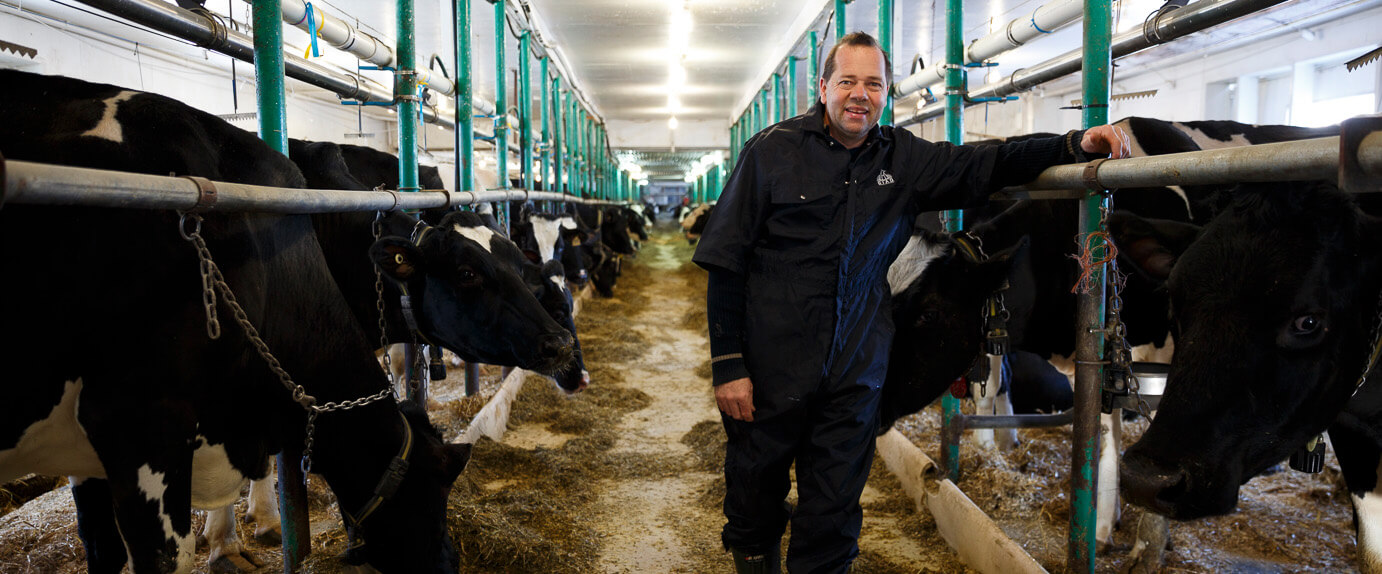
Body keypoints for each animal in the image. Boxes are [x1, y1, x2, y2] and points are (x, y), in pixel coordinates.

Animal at [0, 70, 469, 573]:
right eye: (437, 487)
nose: (451, 561)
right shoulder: (140, 421)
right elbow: (165, 554)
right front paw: (235, 538)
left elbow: (99, 542)